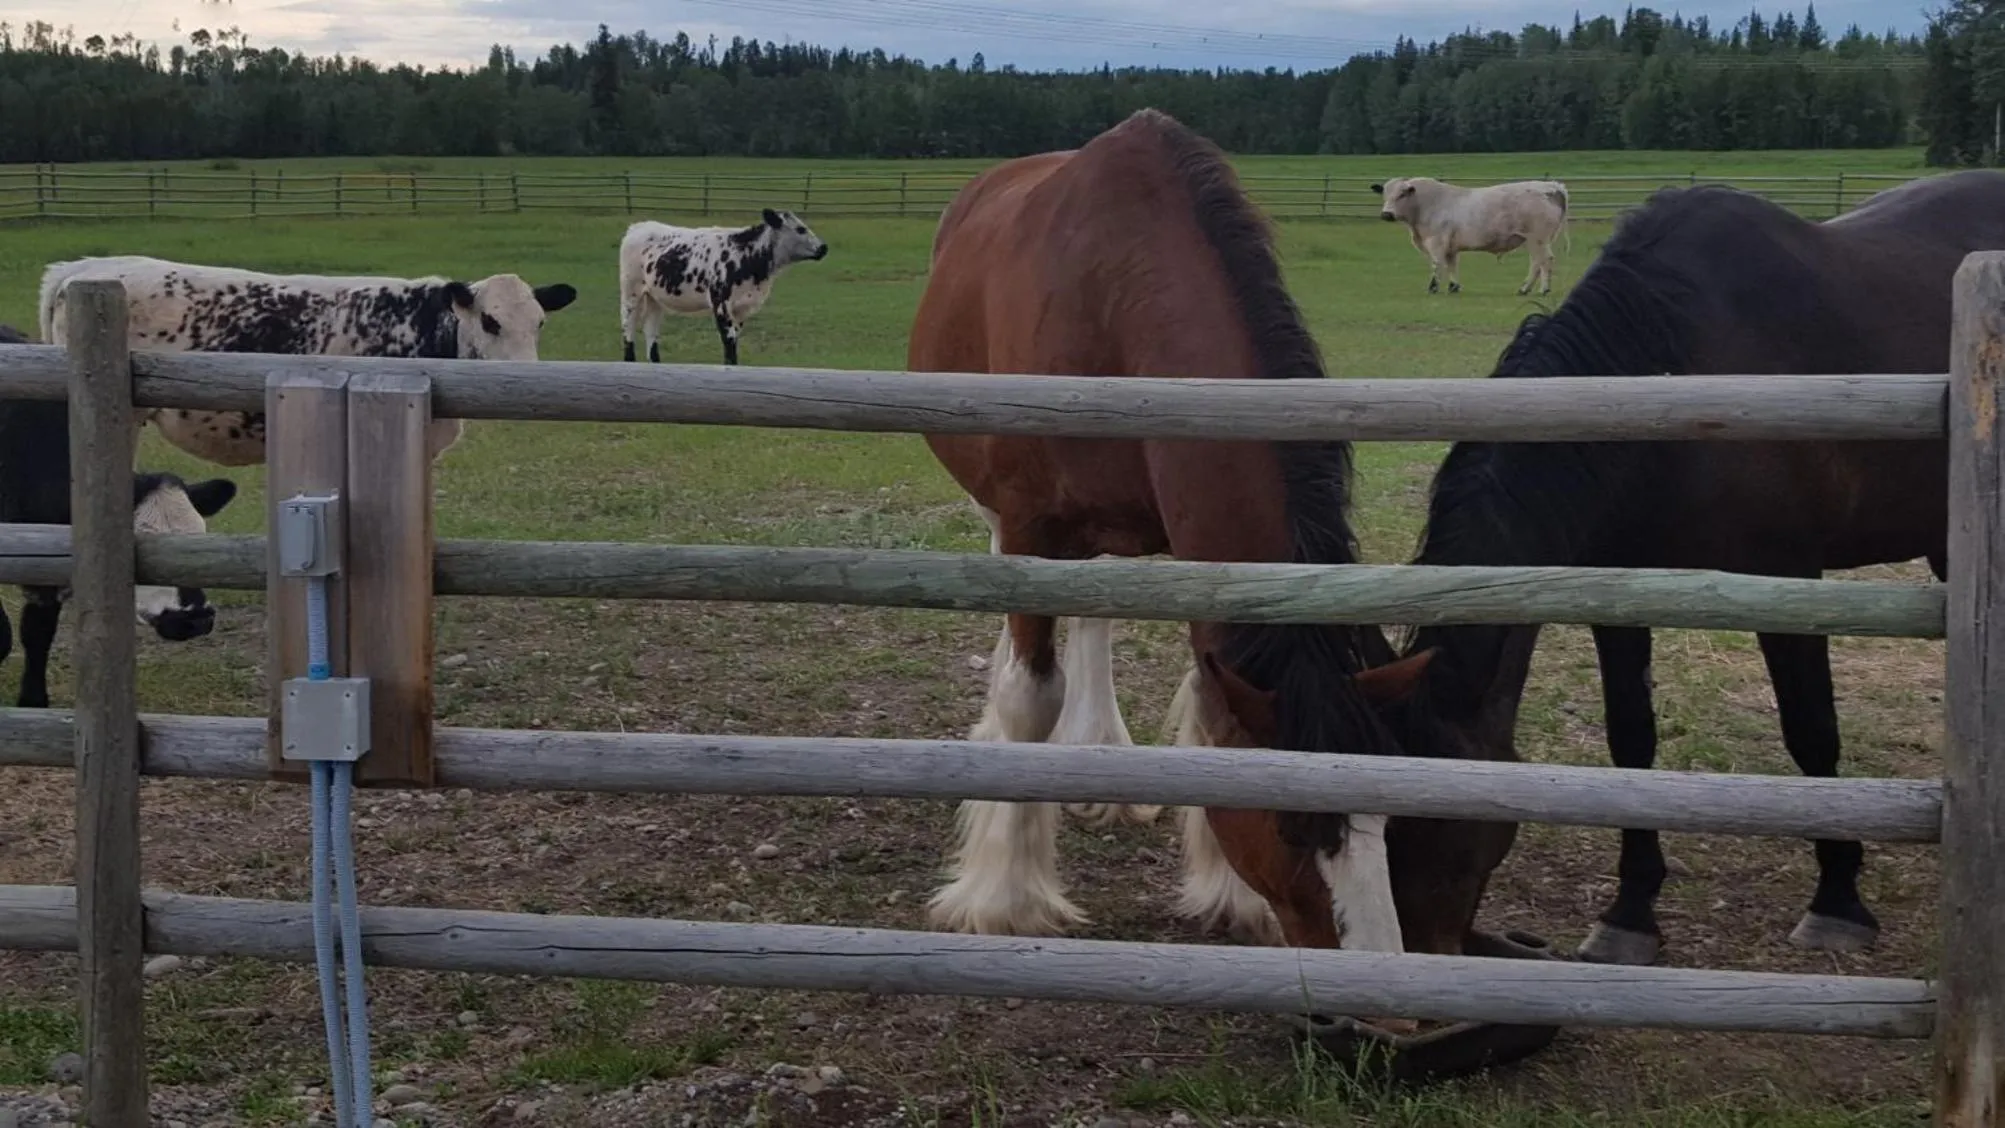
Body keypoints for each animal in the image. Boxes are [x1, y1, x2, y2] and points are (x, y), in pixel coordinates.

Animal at [906, 107, 1444, 960]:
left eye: (1387, 821)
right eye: (1291, 831)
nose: (1376, 970)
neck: (1112, 295)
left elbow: (1204, 694)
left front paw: (1229, 894)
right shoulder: (1029, 522)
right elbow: (1029, 695)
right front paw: (1005, 899)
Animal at [1346, 170, 2005, 966]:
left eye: (1444, 829)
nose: (1412, 954)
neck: (1676, 367)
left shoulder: (1788, 582)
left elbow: (1811, 731)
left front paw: (1838, 899)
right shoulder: (1615, 594)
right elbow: (1631, 740)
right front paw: (1630, 913)